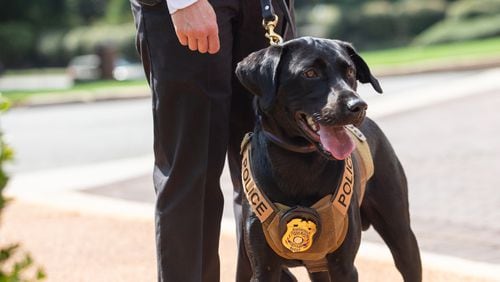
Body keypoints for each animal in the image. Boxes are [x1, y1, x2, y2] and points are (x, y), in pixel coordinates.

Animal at [235, 37, 422, 282]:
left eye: (350, 71)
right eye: (310, 73)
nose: (358, 106)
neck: (299, 163)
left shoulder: (343, 265)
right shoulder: (263, 268)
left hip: (400, 231)